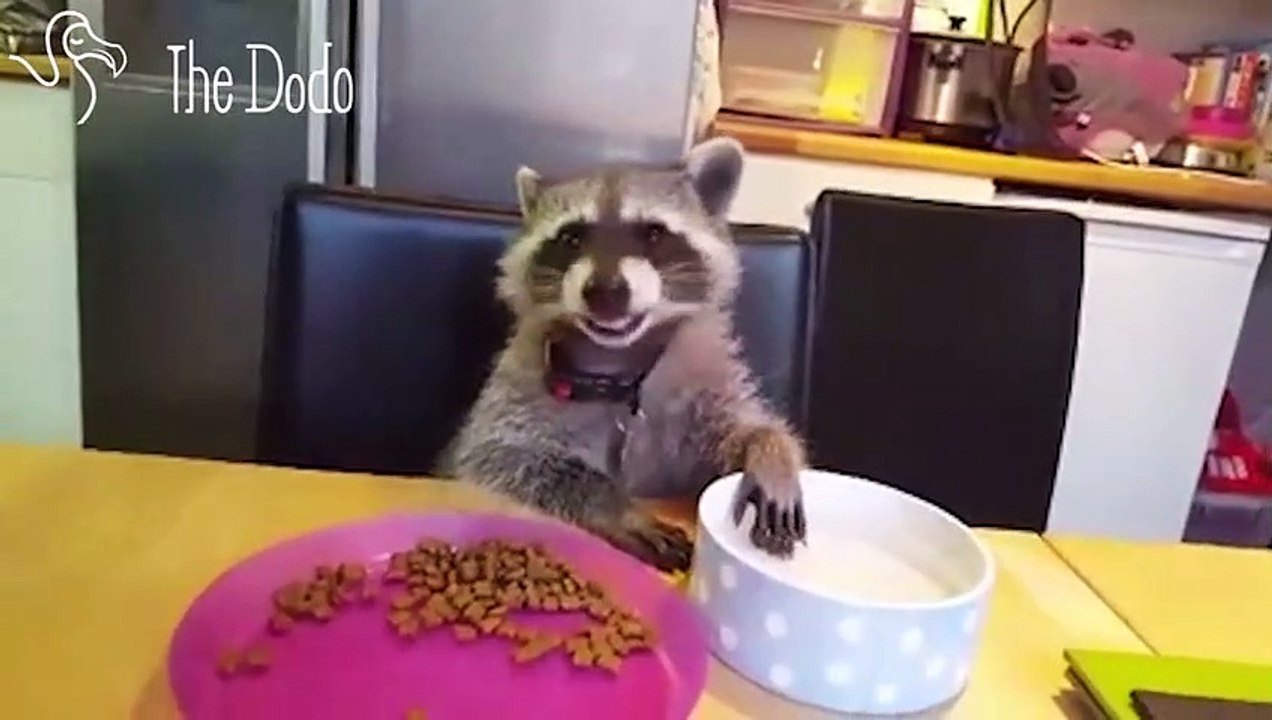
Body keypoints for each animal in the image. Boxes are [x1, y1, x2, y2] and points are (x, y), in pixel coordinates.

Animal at [449, 138, 806, 572]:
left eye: (652, 233)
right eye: (571, 238)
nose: (605, 292)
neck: (617, 359)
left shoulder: (703, 379)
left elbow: (739, 426)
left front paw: (768, 448)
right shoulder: (520, 381)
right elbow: (497, 456)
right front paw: (615, 506)